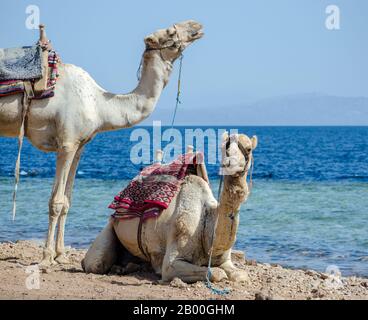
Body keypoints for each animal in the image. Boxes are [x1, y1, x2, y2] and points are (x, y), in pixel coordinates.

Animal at [0, 19, 203, 264]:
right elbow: (56, 202)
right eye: (171, 32)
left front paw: (61, 254)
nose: (196, 25)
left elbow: (67, 201)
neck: (99, 105)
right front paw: (47, 256)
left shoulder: (79, 146)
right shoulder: (66, 143)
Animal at [82, 132, 258, 282]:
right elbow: (216, 273)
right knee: (95, 263)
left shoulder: (224, 259)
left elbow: (240, 275)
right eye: (224, 147)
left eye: (248, 148)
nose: (229, 163)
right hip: (111, 227)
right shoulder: (172, 262)